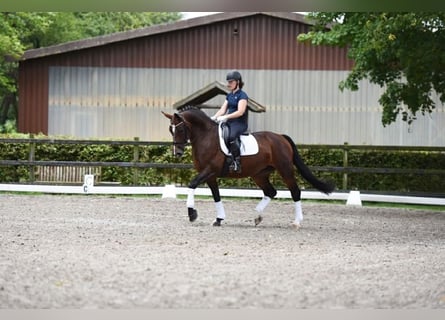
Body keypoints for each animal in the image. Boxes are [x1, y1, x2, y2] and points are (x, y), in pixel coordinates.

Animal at [160, 107, 332, 228]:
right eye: (170, 130)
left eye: (180, 129)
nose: (177, 153)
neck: (206, 137)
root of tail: (281, 137)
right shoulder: (210, 175)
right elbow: (216, 196)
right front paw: (218, 219)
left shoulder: (210, 170)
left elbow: (192, 184)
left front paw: (192, 214)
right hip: (259, 174)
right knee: (271, 192)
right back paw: (257, 217)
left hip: (285, 170)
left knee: (295, 191)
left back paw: (296, 222)